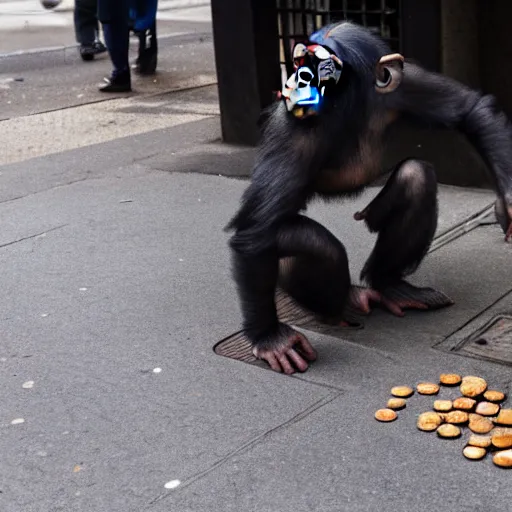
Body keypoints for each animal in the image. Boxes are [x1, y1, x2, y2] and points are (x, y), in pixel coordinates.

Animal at [226, 22, 512, 374]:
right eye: (297, 63)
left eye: (324, 67)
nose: (296, 81)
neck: (352, 109)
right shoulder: (295, 131)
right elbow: (258, 230)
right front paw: (269, 338)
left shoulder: (405, 85)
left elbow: (470, 110)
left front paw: (509, 202)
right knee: (310, 242)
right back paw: (337, 307)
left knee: (417, 177)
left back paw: (391, 287)